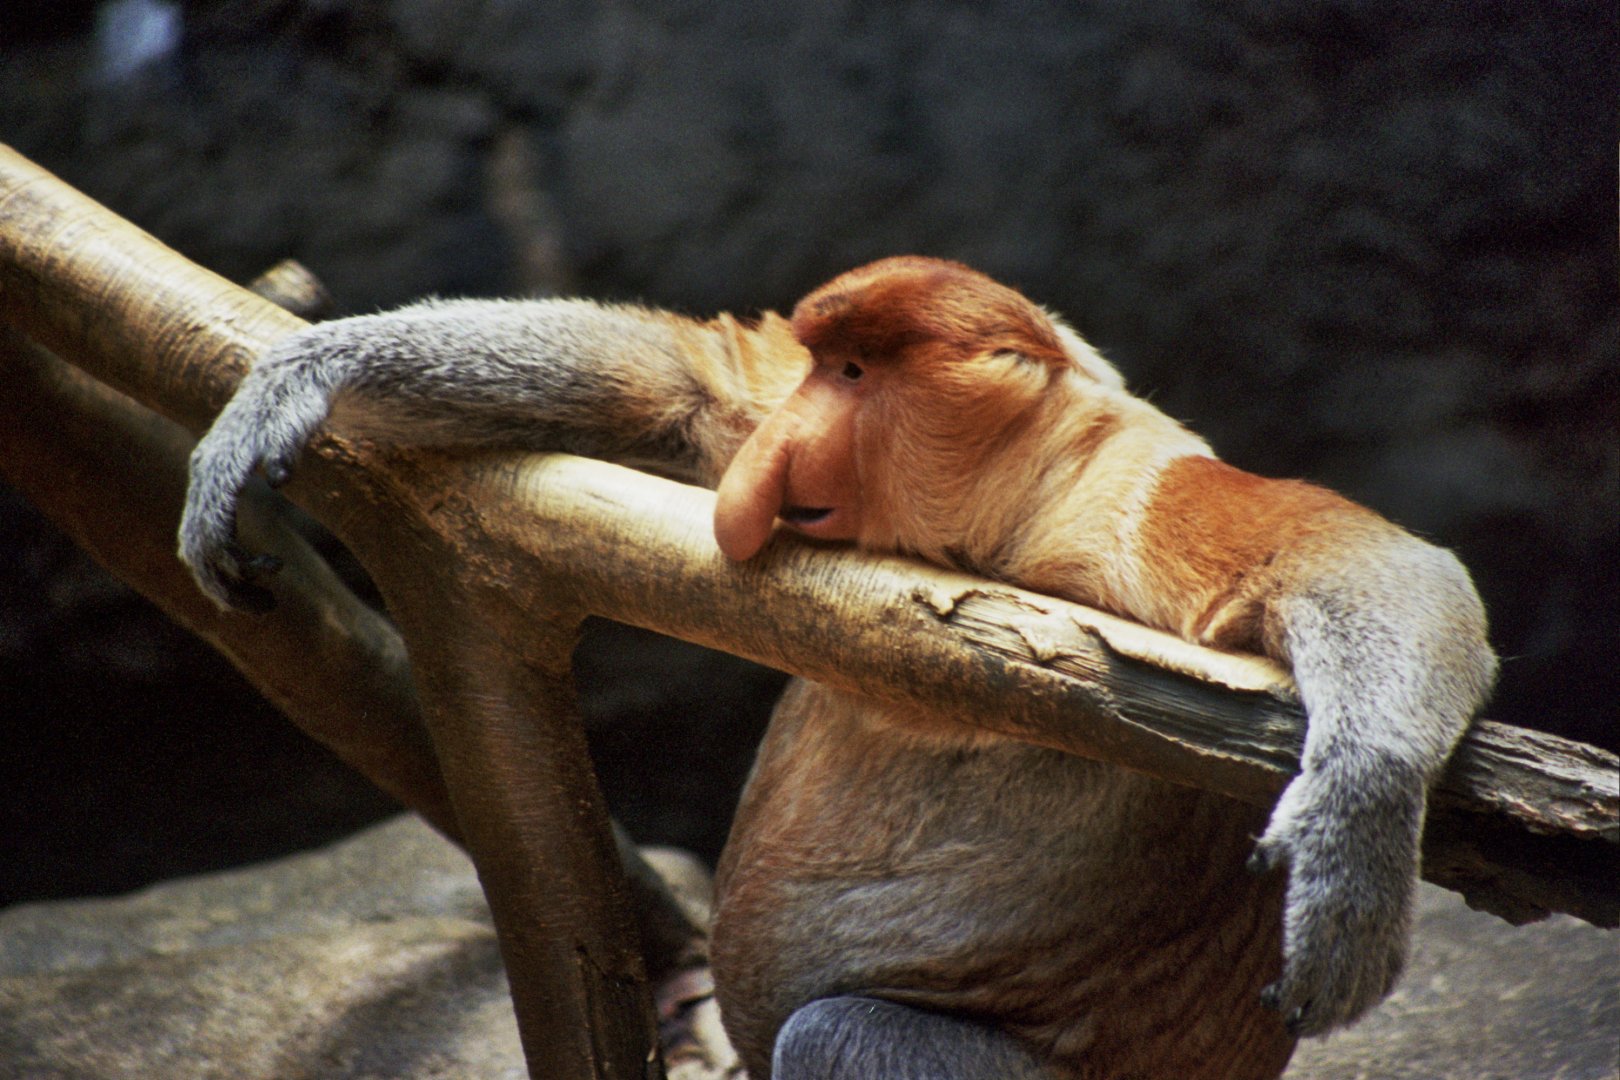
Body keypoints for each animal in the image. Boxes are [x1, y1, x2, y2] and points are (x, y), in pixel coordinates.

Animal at [180, 256, 1497, 1079]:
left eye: (861, 375)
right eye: (820, 366)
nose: (780, 452)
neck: (1006, 525)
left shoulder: (1143, 508)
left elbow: (1354, 555)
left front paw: (1350, 855)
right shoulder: (751, 410)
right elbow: (685, 379)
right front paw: (296, 384)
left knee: (837, 1037)